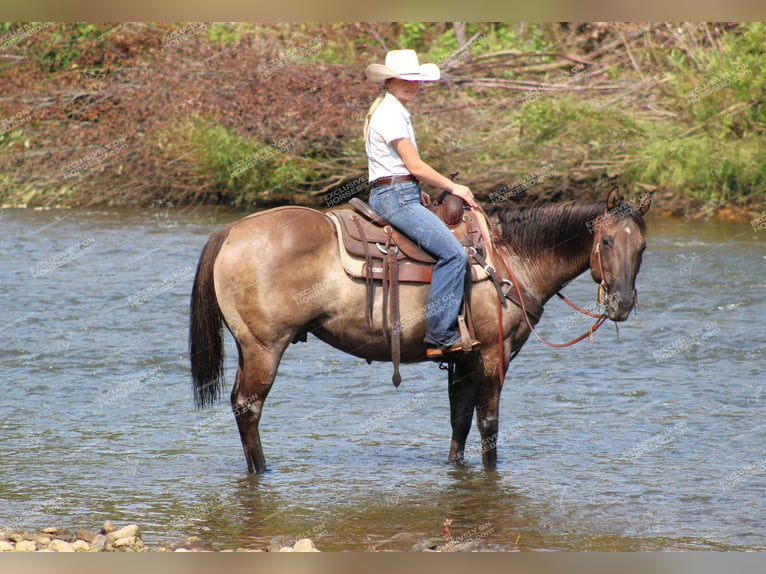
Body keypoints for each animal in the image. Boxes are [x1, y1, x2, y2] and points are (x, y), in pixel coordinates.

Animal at [189, 189, 652, 472]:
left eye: (643, 246)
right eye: (607, 242)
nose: (622, 304)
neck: (509, 258)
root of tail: (232, 230)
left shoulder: (464, 357)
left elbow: (459, 421)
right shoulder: (493, 354)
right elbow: (488, 425)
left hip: (249, 347)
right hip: (265, 347)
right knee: (248, 407)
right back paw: (263, 471)